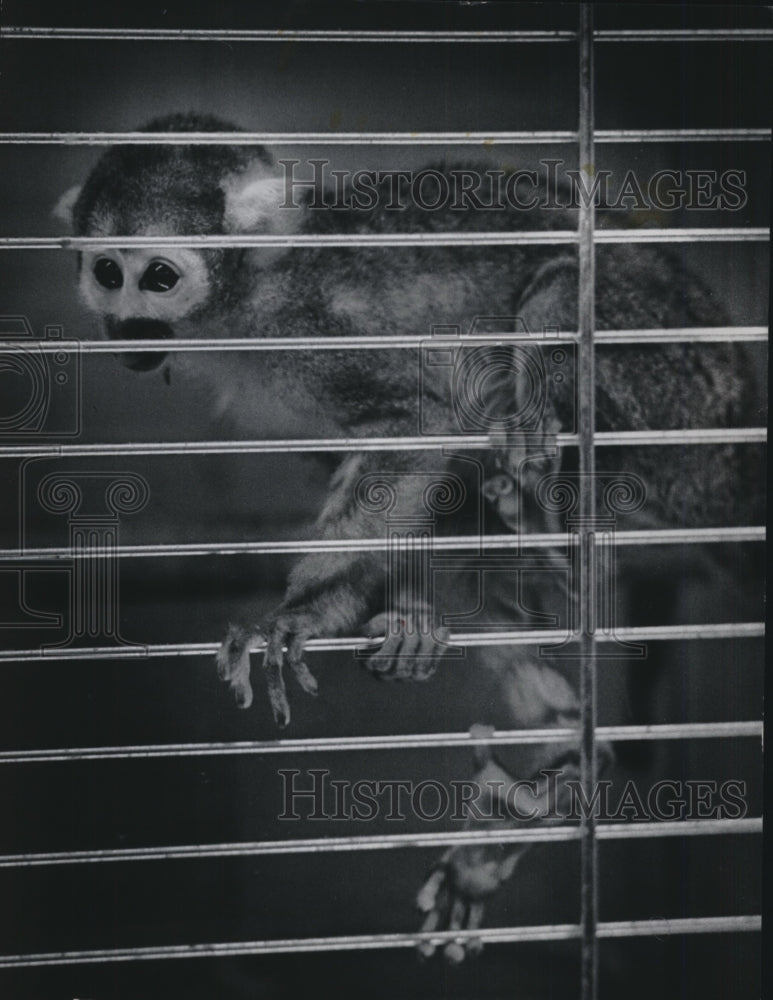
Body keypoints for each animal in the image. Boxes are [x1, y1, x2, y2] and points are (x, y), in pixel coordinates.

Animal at [56, 113, 762, 962]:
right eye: (106, 273)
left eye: (158, 276)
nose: (127, 327)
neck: (255, 287)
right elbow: (393, 469)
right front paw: (391, 617)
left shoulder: (310, 339)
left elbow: (418, 423)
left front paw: (302, 612)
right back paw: (560, 754)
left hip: (688, 397)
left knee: (563, 291)